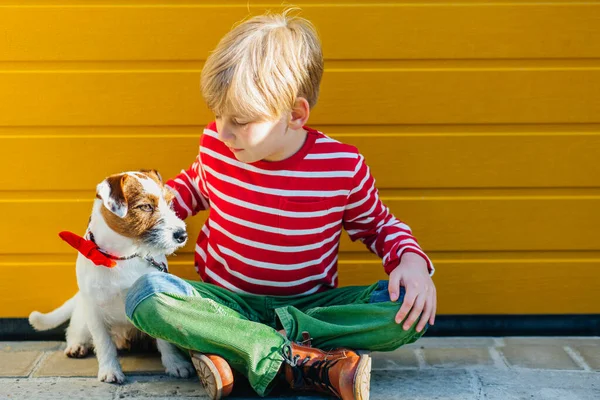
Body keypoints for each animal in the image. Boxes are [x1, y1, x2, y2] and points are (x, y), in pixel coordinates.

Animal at [29, 170, 193, 382]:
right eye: (146, 206)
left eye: (169, 202)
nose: (182, 235)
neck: (124, 255)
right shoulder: (94, 310)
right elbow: (103, 343)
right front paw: (110, 371)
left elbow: (165, 339)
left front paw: (176, 364)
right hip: (83, 315)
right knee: (74, 330)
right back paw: (77, 346)